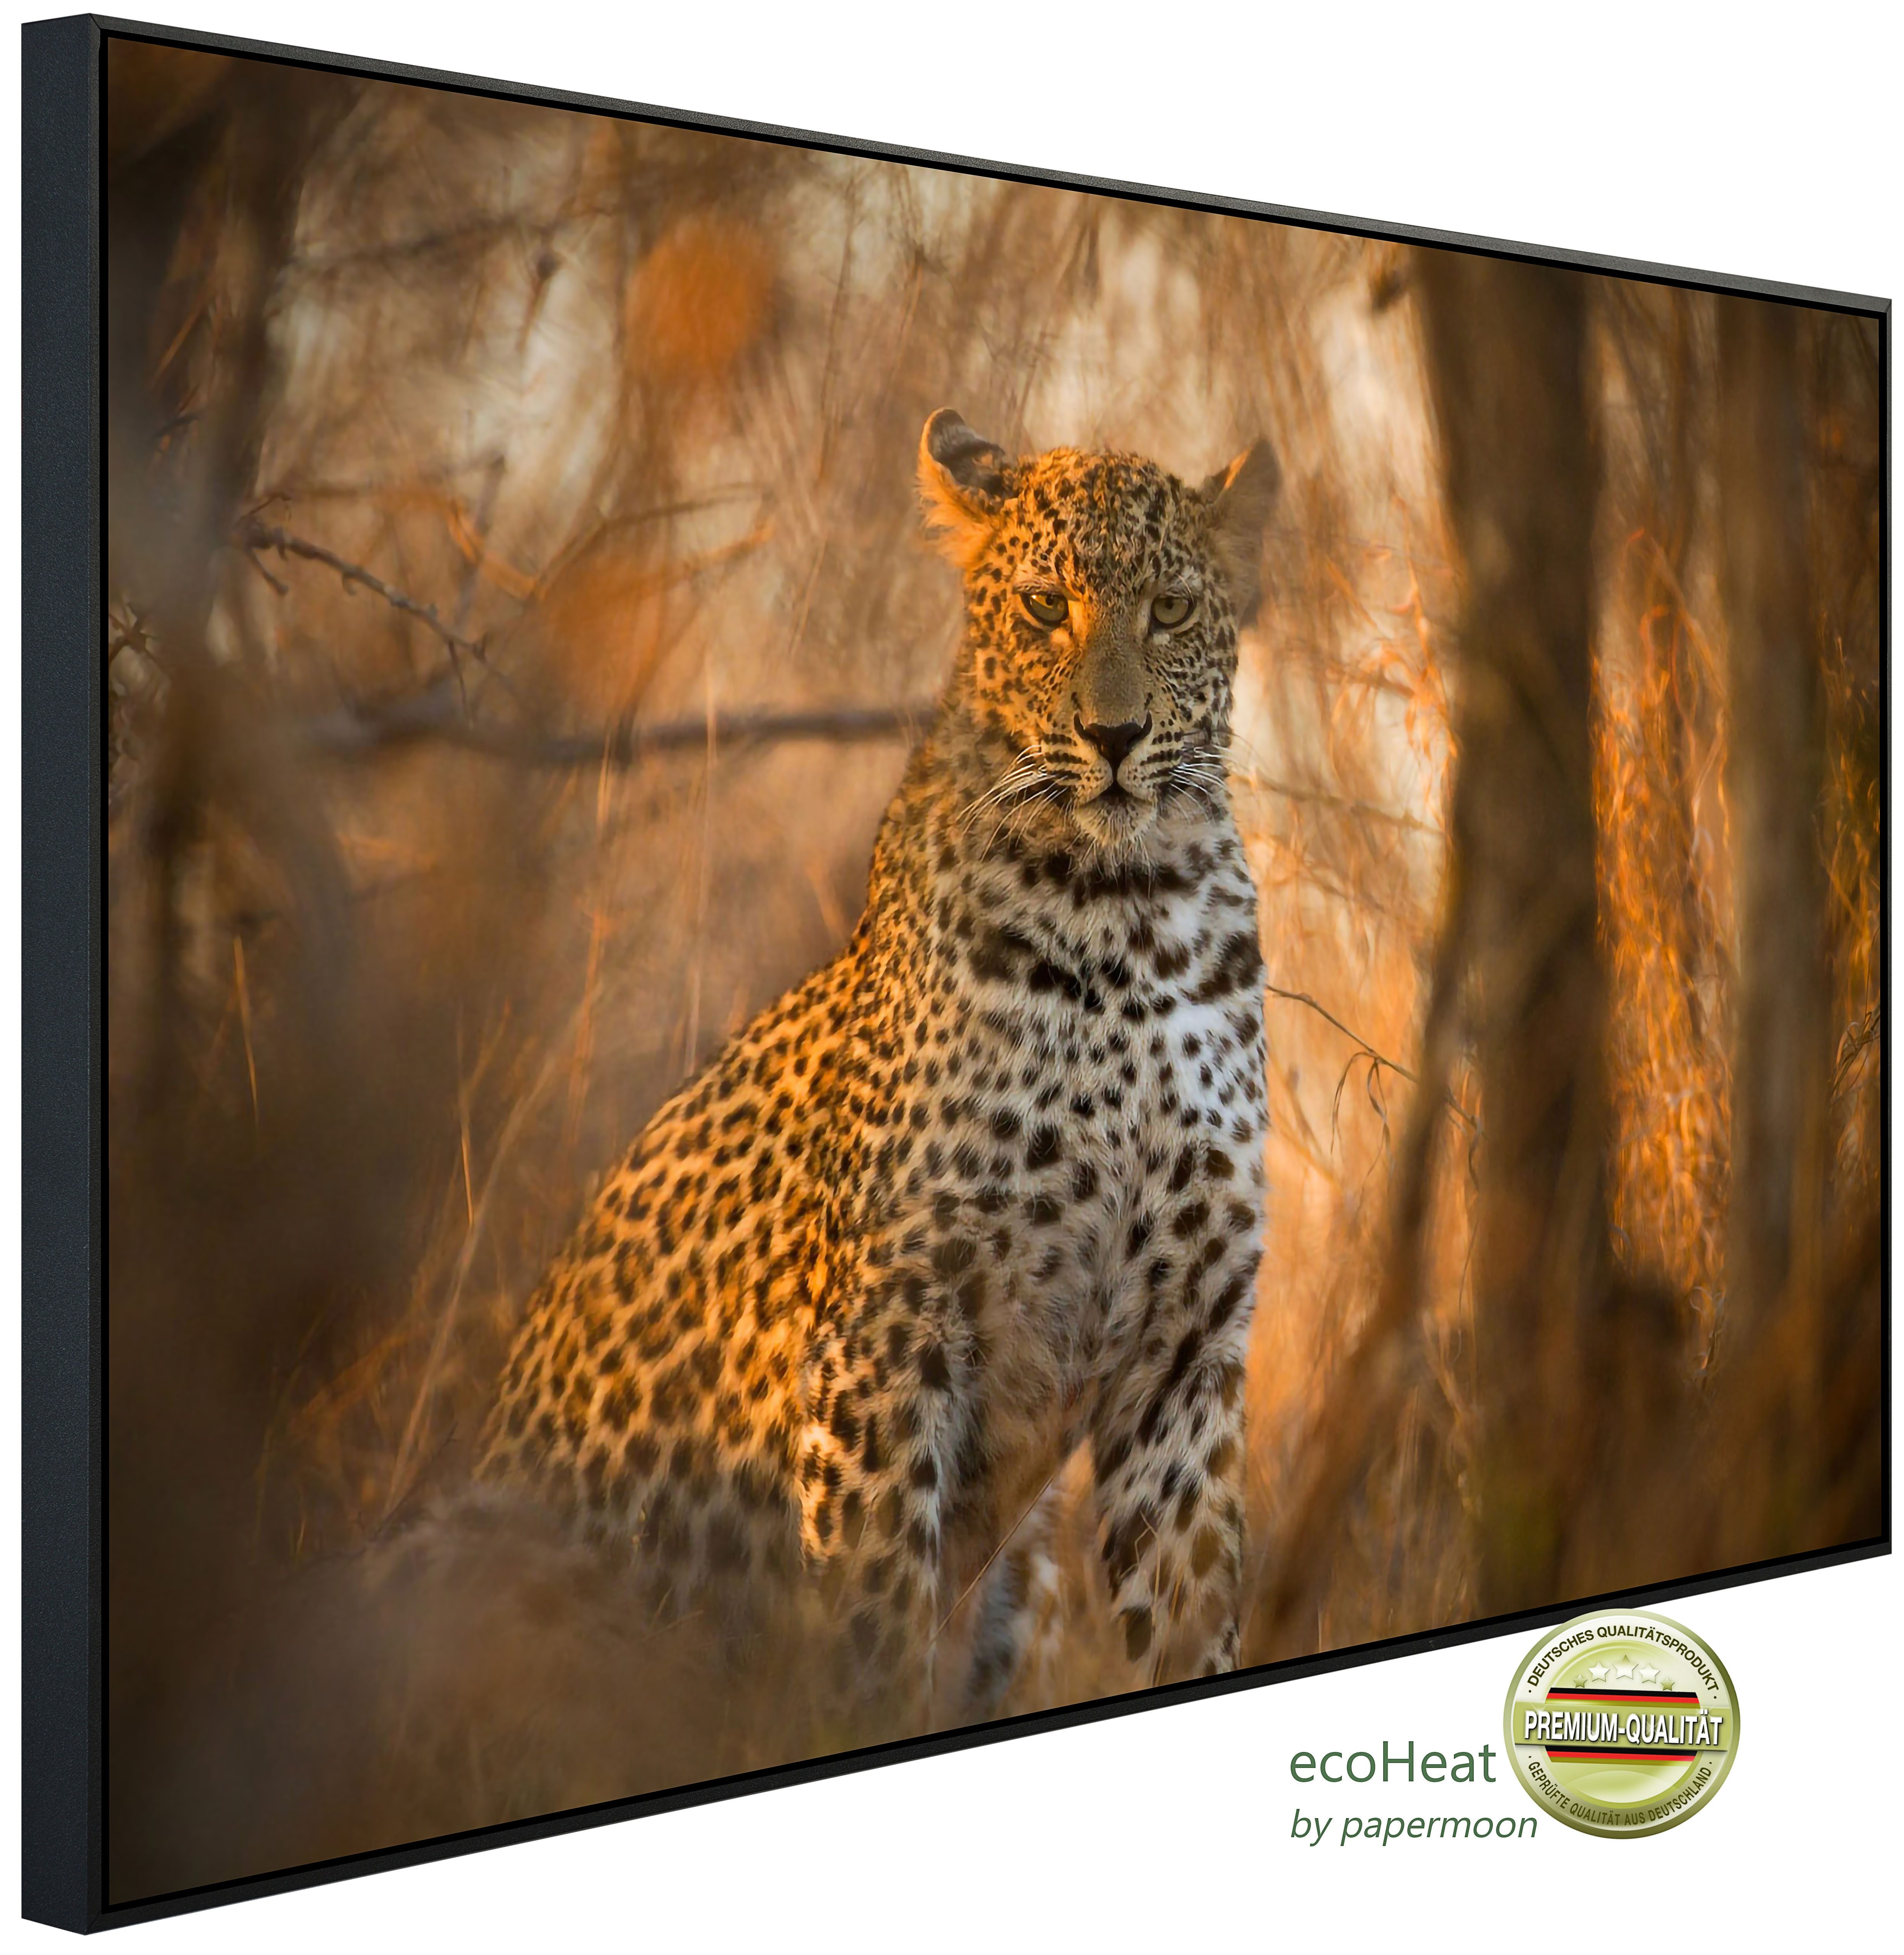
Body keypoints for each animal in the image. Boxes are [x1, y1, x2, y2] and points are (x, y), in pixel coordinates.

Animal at [477, 408, 1280, 1722]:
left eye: (1169, 608)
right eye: (1044, 607)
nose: (1114, 737)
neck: (1132, 916)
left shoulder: (1183, 1351)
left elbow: (1193, 1611)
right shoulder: (884, 1334)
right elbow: (872, 1625)